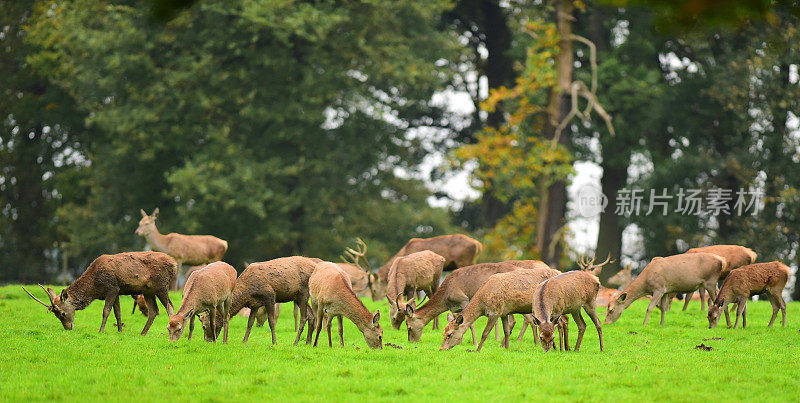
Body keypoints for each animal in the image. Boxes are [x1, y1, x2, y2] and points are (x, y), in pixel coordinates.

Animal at [23, 251, 177, 336]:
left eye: (62, 313)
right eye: (56, 315)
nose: (68, 328)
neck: (94, 287)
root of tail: (174, 264)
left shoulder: (111, 288)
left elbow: (106, 311)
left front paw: (101, 330)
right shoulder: (117, 291)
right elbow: (118, 312)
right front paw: (120, 331)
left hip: (161, 285)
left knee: (170, 306)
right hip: (147, 290)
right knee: (154, 310)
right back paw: (143, 333)